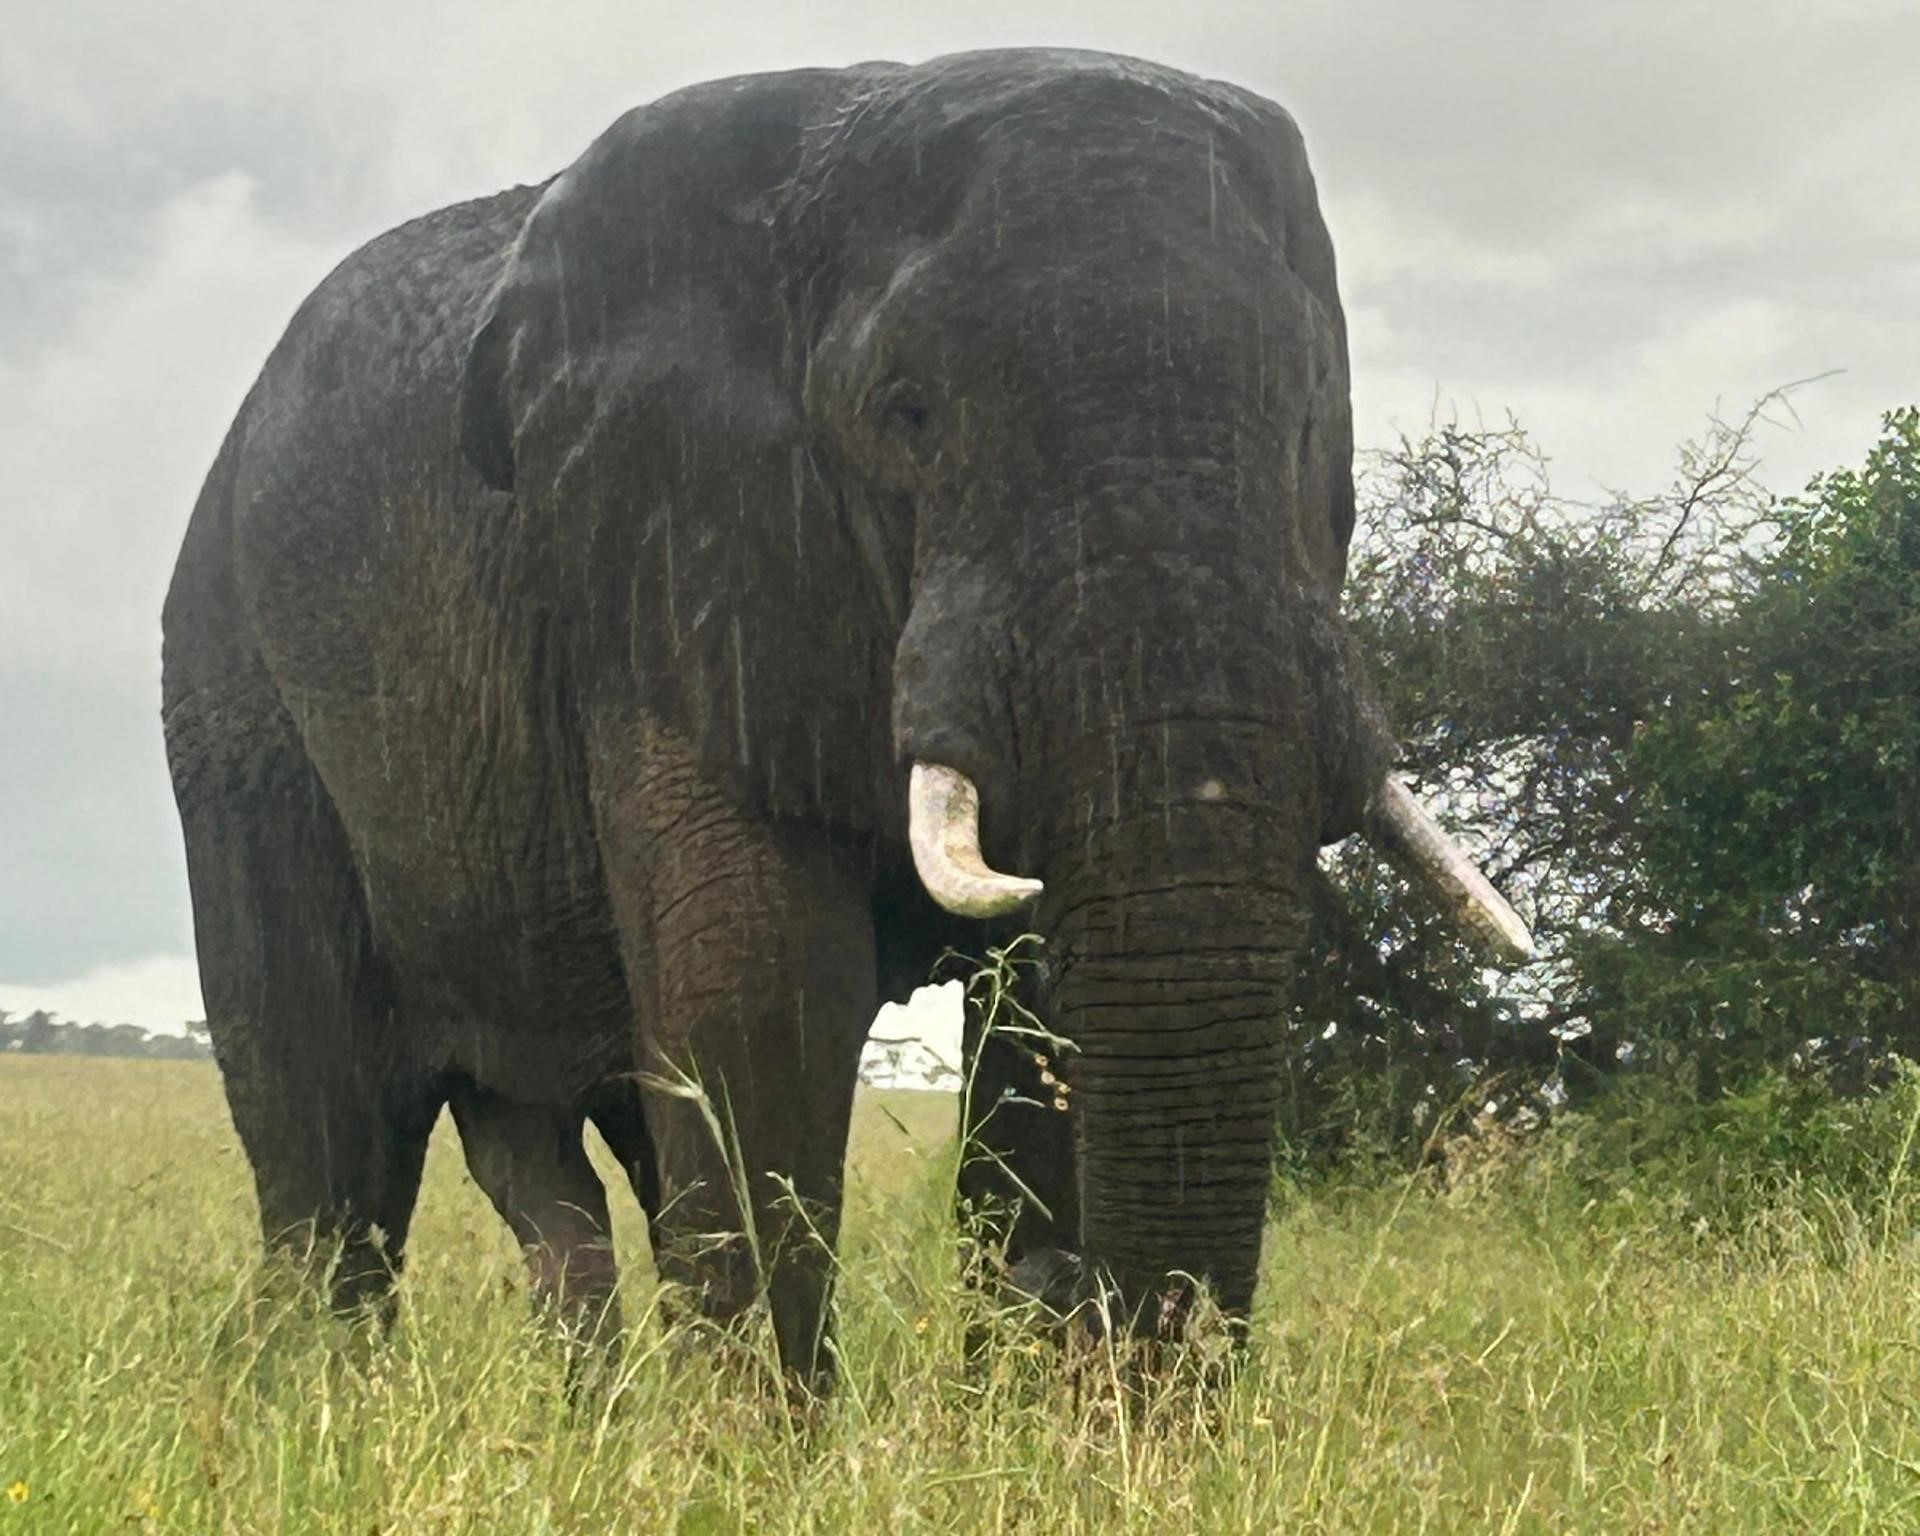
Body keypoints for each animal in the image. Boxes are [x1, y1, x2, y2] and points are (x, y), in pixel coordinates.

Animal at [161, 48, 1528, 1386]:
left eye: (1307, 426)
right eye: (908, 415)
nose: (1084, 1327)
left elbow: (1038, 1011)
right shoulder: (669, 561)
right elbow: (759, 995)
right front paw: (764, 1443)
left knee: (545, 1154)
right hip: (234, 692)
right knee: (330, 1140)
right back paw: (314, 1403)